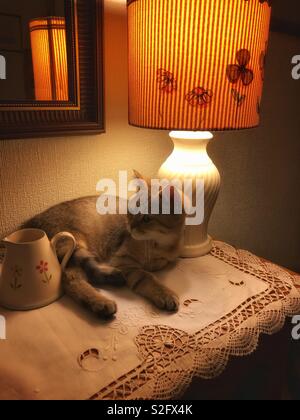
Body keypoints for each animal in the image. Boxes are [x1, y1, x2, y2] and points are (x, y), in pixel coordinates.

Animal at [23, 171, 186, 318]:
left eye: (146, 218)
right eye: (131, 211)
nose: (130, 226)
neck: (156, 245)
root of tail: (31, 222)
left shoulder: (165, 259)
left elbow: (159, 264)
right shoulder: (123, 261)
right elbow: (147, 277)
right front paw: (165, 294)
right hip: (74, 244)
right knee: (72, 279)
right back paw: (102, 301)